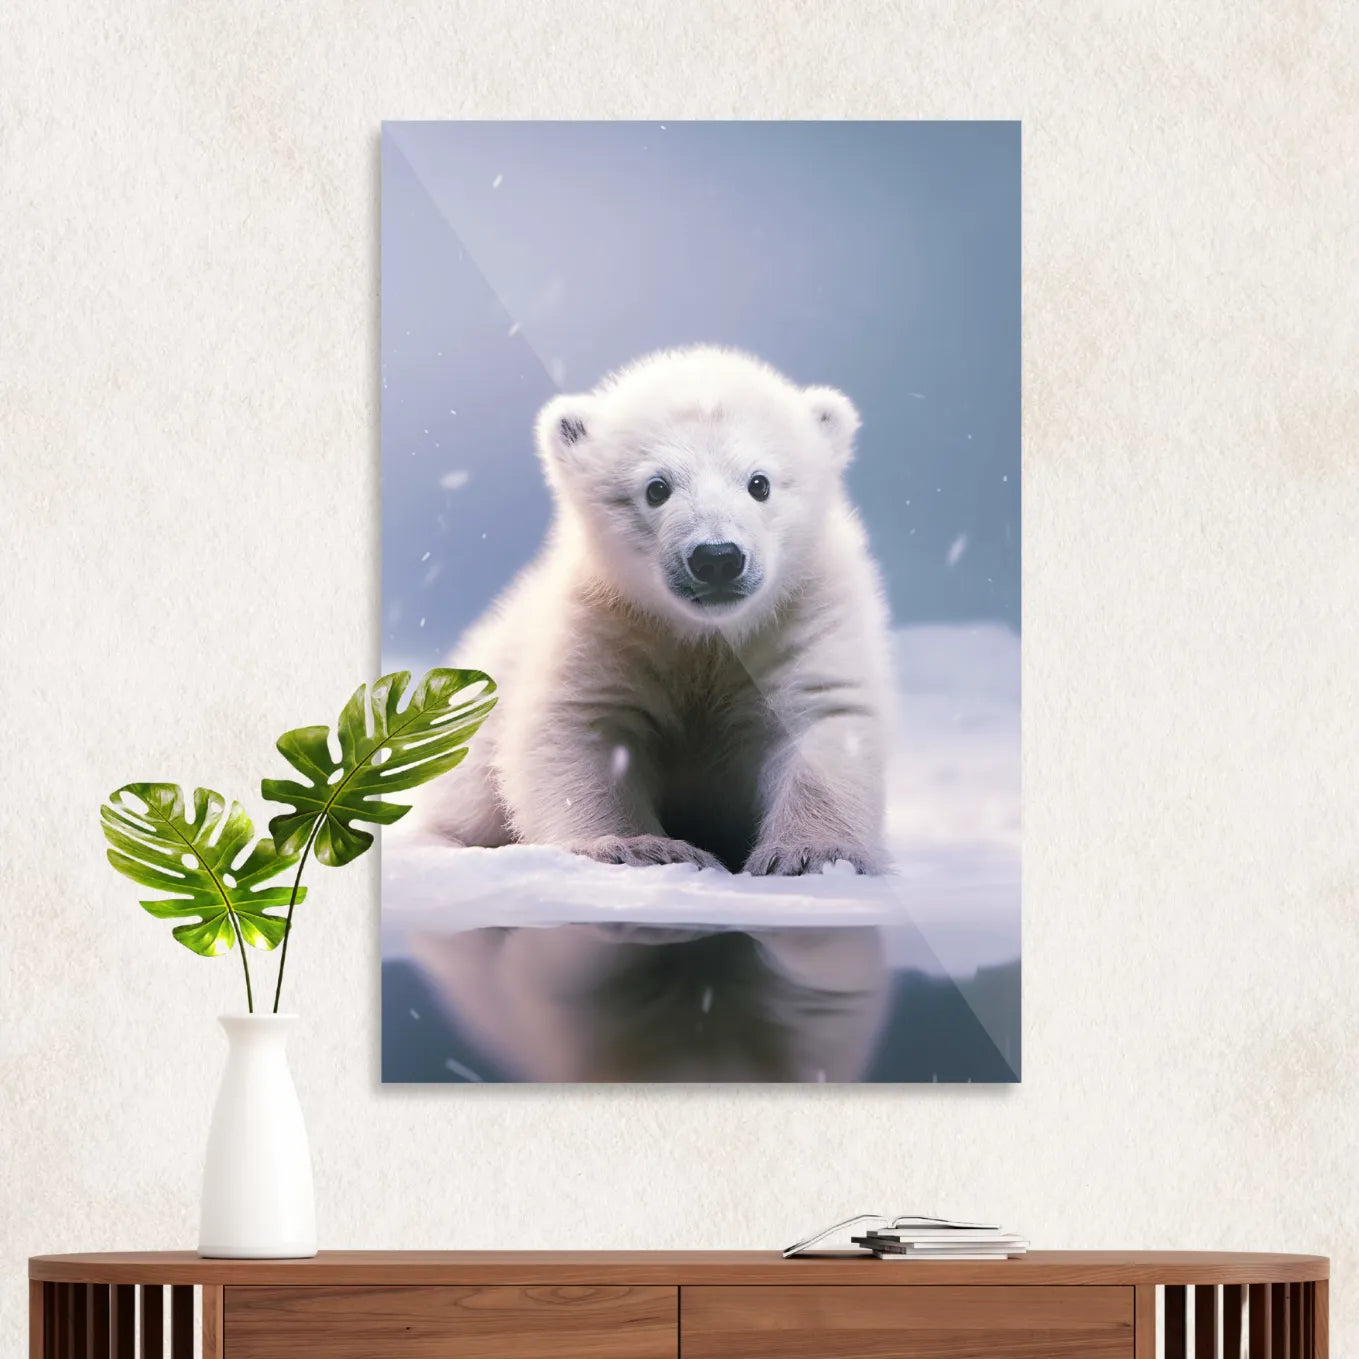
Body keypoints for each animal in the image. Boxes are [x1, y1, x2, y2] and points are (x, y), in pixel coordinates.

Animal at [417, 344, 893, 875]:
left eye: (759, 483)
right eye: (657, 488)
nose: (716, 558)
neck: (706, 635)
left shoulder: (803, 610)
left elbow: (823, 713)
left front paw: (812, 855)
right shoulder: (605, 621)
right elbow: (583, 726)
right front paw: (643, 847)